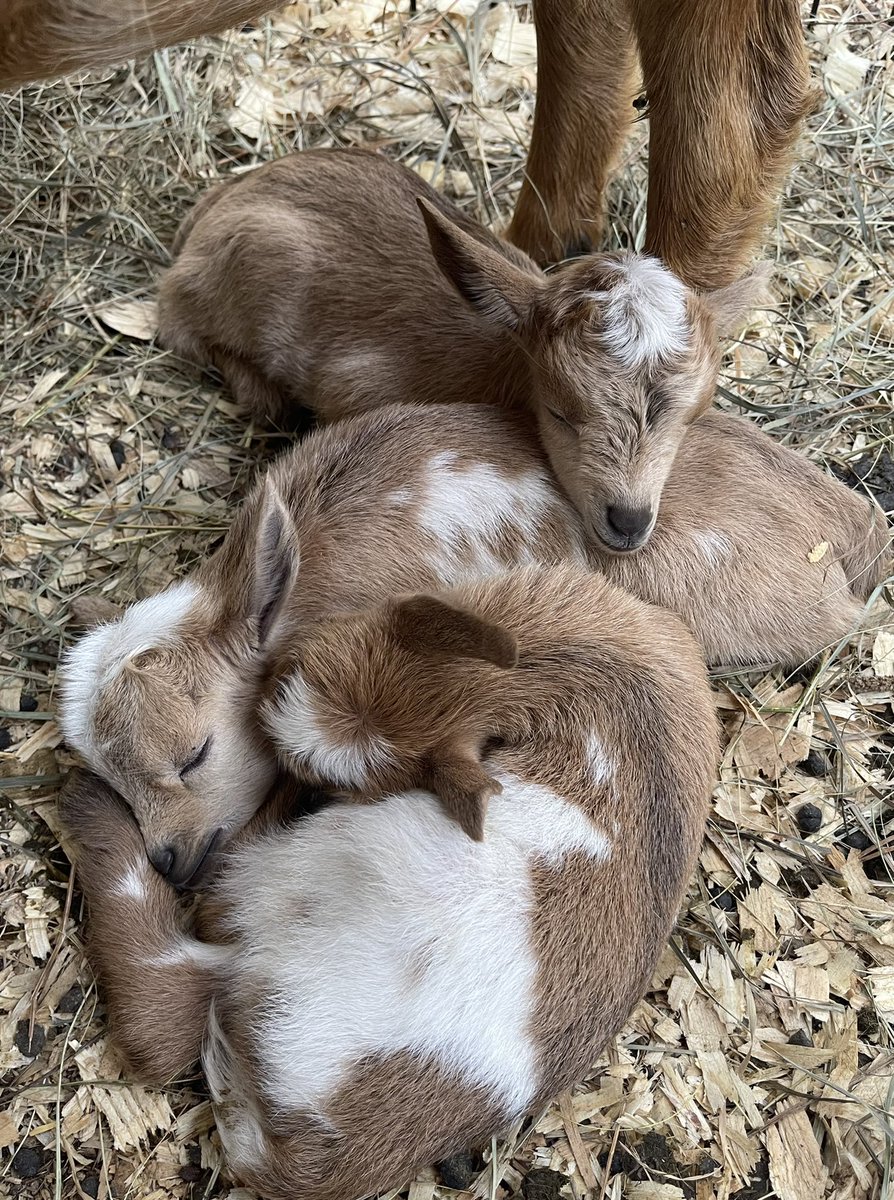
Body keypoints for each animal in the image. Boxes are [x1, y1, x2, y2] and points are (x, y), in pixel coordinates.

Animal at [157, 147, 766, 553]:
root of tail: (220, 201)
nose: (628, 522)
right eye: (559, 412)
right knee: (179, 322)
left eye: (692, 418)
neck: (493, 366)